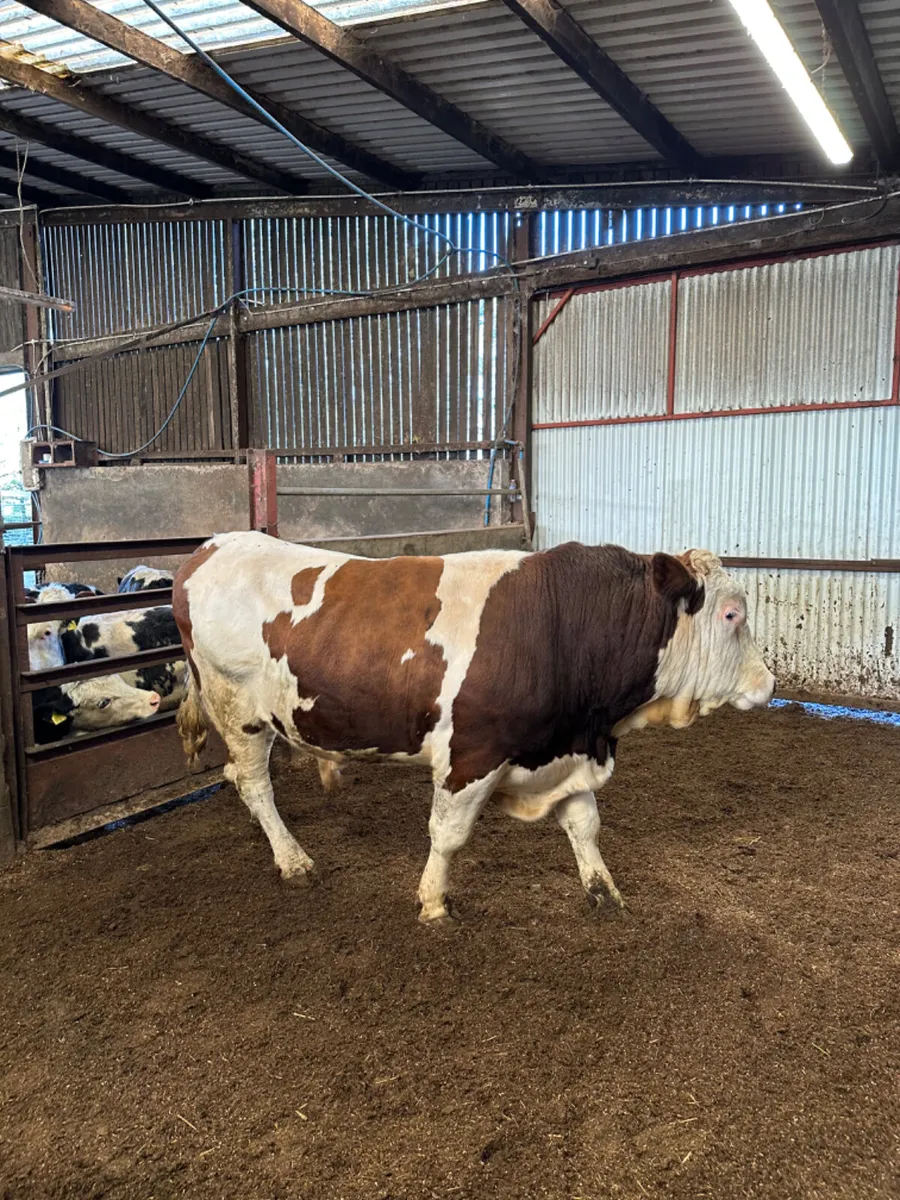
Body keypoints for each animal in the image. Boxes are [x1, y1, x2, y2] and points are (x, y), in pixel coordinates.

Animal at [173, 532, 775, 924]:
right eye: (732, 615)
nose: (768, 683)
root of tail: (208, 547)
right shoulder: (471, 755)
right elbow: (448, 835)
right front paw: (433, 902)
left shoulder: (561, 750)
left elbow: (585, 825)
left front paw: (604, 892)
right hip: (239, 709)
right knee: (253, 782)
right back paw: (293, 859)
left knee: (240, 780)